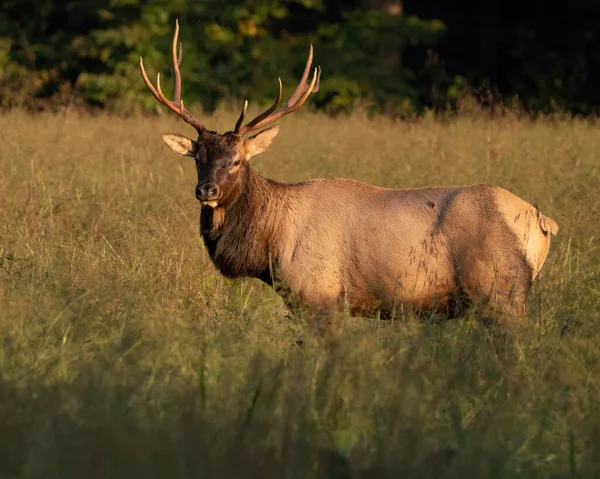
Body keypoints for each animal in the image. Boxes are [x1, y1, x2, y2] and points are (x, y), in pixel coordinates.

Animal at [139, 21, 556, 322]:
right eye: (197, 157)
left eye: (238, 160)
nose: (206, 190)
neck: (270, 245)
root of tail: (543, 222)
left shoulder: (319, 294)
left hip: (502, 293)